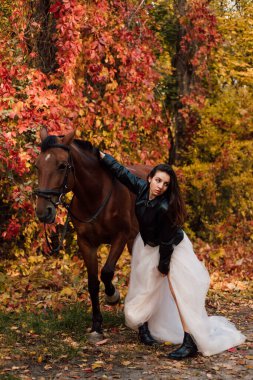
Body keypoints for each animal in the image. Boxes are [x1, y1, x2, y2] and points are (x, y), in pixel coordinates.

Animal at [35, 127, 150, 338]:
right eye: (37, 166)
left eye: (62, 166)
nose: (43, 211)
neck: (96, 196)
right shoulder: (86, 243)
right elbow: (92, 283)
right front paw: (97, 325)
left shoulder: (119, 237)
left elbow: (106, 272)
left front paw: (113, 296)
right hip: (133, 240)